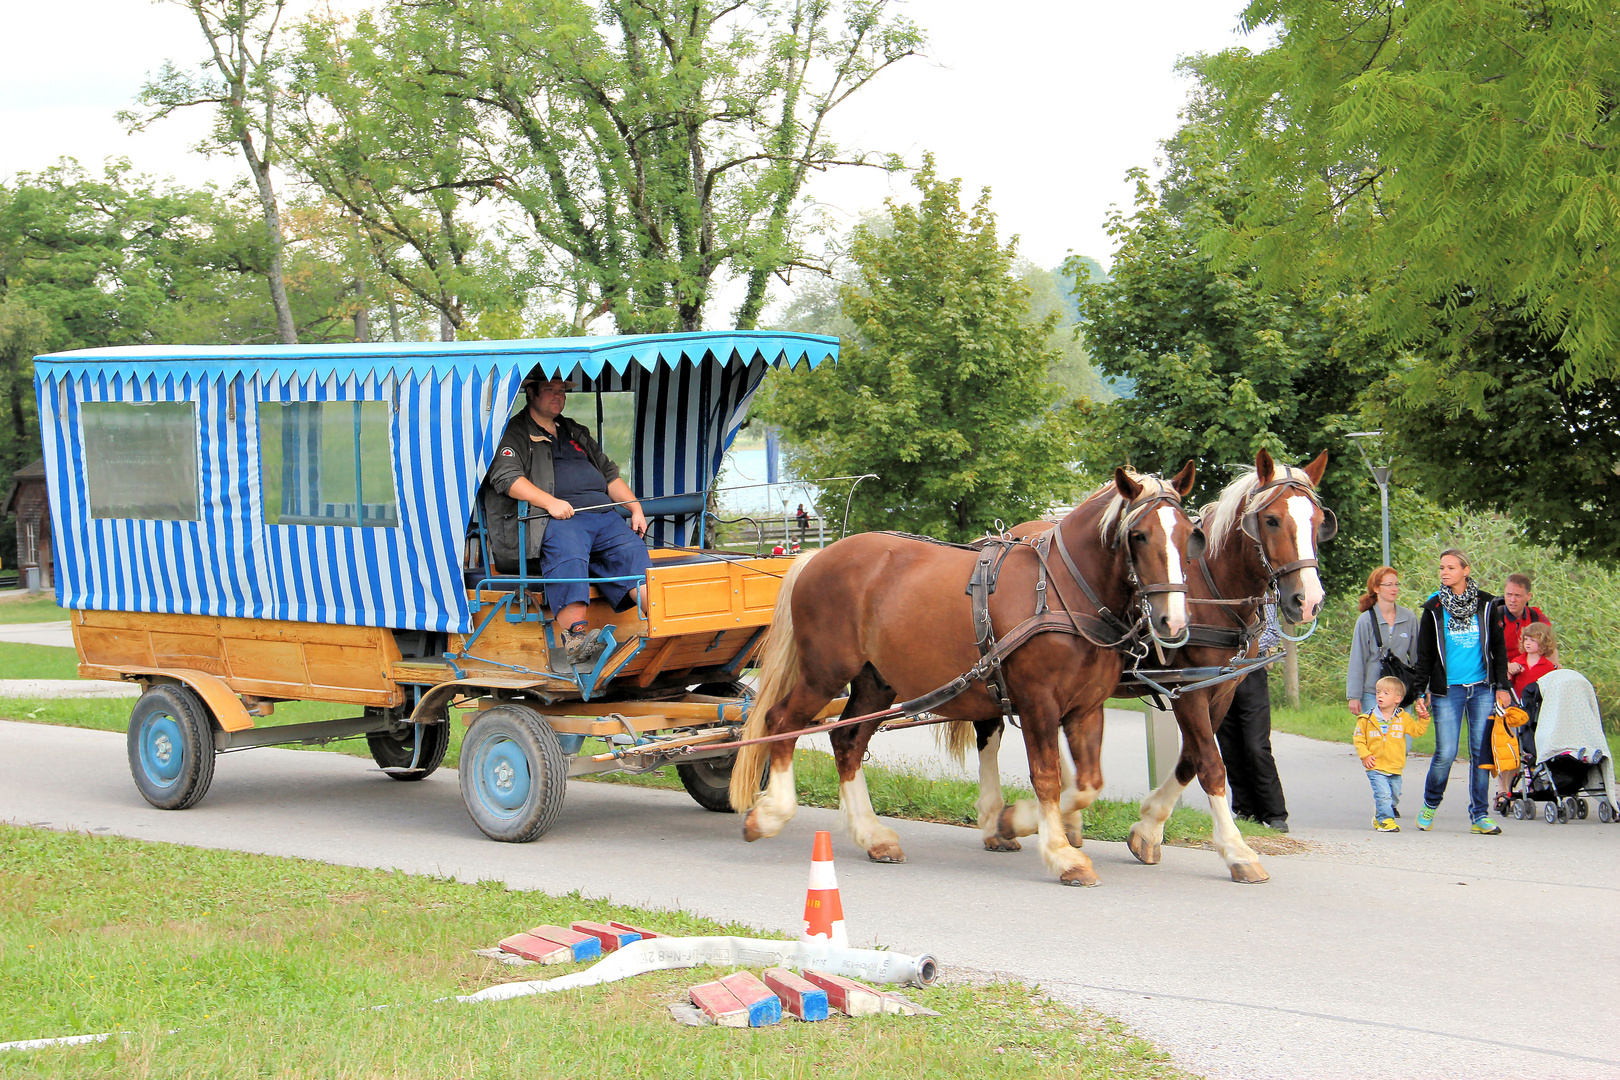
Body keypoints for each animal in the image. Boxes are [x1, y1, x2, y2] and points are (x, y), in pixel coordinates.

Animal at [732, 466, 1205, 887]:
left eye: (1188, 535)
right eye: (1138, 535)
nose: (1173, 621)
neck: (1063, 592)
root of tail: (819, 555)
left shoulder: (1086, 708)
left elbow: (1089, 784)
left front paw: (1014, 822)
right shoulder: (1038, 703)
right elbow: (1048, 777)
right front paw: (1057, 852)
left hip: (875, 682)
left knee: (846, 742)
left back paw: (871, 835)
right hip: (825, 672)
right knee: (782, 722)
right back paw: (771, 814)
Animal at [946, 453, 1328, 880]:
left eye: (1318, 521)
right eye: (1272, 520)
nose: (1308, 600)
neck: (1210, 586)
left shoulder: (1218, 691)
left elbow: (1190, 761)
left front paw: (1148, 829)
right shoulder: (1184, 692)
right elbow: (1211, 765)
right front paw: (1235, 849)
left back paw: (1063, 823)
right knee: (990, 734)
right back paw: (996, 819)